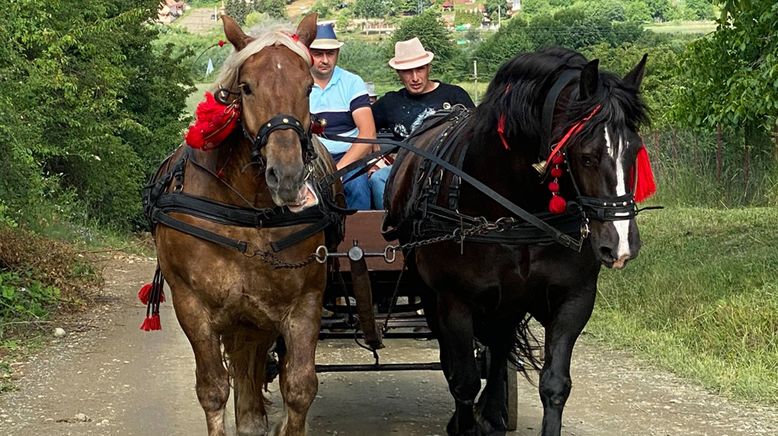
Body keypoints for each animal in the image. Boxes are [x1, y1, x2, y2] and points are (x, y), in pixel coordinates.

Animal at [149, 15, 336, 434]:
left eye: (308, 86)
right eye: (247, 87)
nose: (287, 176)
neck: (247, 211)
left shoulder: (304, 302)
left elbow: (300, 386)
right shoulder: (192, 305)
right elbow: (213, 389)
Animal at [384, 46, 652, 434]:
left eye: (634, 150)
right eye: (587, 156)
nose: (620, 246)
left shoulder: (574, 298)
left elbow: (554, 384)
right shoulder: (454, 301)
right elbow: (464, 380)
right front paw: (464, 423)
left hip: (507, 303)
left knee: (499, 347)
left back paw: (495, 412)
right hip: (432, 295)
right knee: (454, 361)